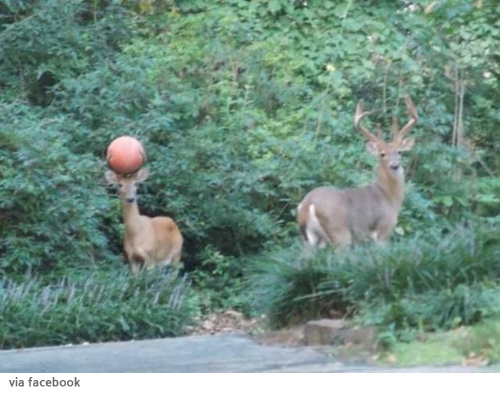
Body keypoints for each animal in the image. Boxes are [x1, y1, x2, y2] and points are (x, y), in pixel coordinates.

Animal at [296, 96, 418, 247]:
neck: (388, 196)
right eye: (382, 154)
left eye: (400, 152)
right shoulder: (384, 230)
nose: (394, 165)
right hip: (339, 232)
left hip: (310, 239)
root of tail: (308, 204)